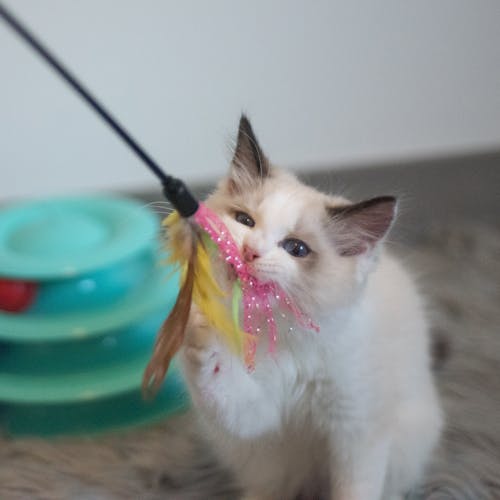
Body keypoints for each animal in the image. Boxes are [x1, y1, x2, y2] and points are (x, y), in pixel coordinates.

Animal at [180, 115, 442, 500]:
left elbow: (355, 488)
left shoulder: (357, 427)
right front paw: (201, 336)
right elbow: (224, 386)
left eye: (296, 249)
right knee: (267, 488)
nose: (249, 252)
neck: (289, 338)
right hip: (258, 458)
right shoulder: (258, 415)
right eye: (245, 221)